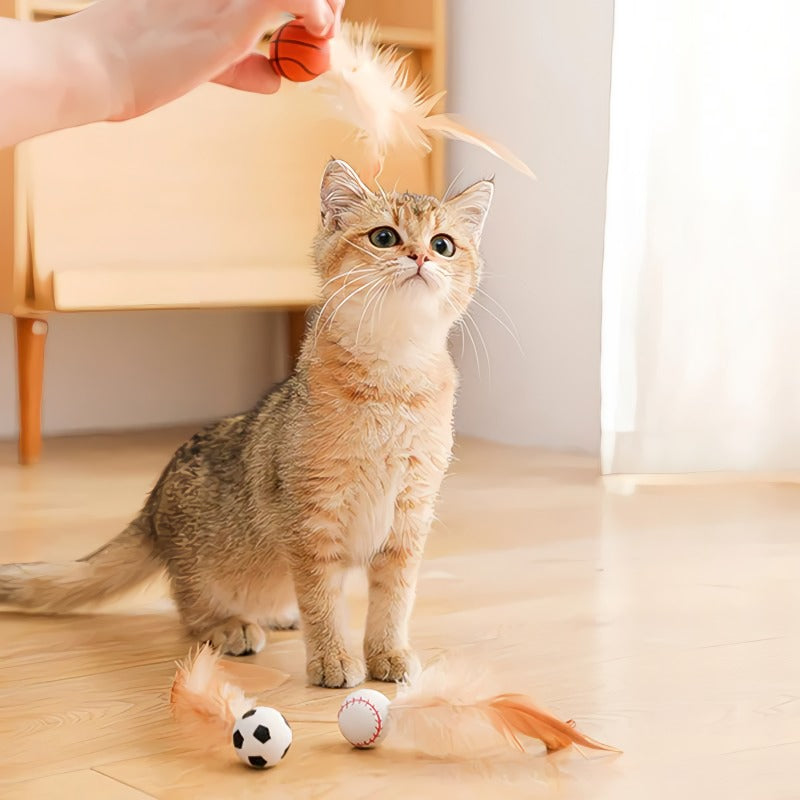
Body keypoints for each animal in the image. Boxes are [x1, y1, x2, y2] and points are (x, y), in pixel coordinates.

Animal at [0, 161, 494, 688]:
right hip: (204, 569)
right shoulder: (311, 521)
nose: (420, 255)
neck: (393, 381)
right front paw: (333, 659)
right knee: (187, 609)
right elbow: (322, 600)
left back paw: (278, 613)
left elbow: (394, 600)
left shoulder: (409, 518)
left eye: (443, 244)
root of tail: (152, 507)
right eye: (385, 237)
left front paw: (388, 653)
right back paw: (229, 626)